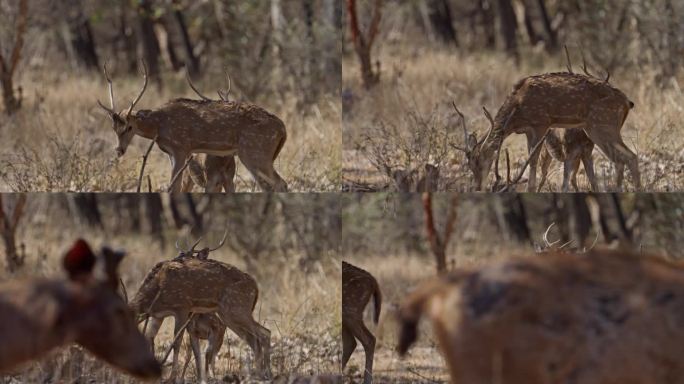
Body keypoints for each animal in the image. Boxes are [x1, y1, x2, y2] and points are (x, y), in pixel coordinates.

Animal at [97, 64, 288, 194]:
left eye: (129, 127)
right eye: (114, 127)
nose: (119, 150)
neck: (159, 126)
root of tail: (283, 129)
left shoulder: (181, 147)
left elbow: (173, 187)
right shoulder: (174, 153)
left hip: (254, 152)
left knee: (279, 184)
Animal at [130, 232, 272, 382]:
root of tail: (255, 287)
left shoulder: (181, 308)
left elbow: (176, 343)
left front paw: (172, 378)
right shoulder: (158, 315)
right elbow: (150, 337)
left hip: (236, 309)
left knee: (263, 335)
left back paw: (264, 374)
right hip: (228, 315)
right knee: (257, 338)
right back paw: (260, 374)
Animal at [452, 71, 640, 191]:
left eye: (480, 162)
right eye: (469, 166)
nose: (477, 187)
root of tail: (627, 103)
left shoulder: (541, 123)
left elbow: (533, 160)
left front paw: (530, 189)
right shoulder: (528, 130)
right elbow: (532, 159)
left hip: (602, 125)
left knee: (629, 156)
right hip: (598, 128)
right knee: (622, 159)